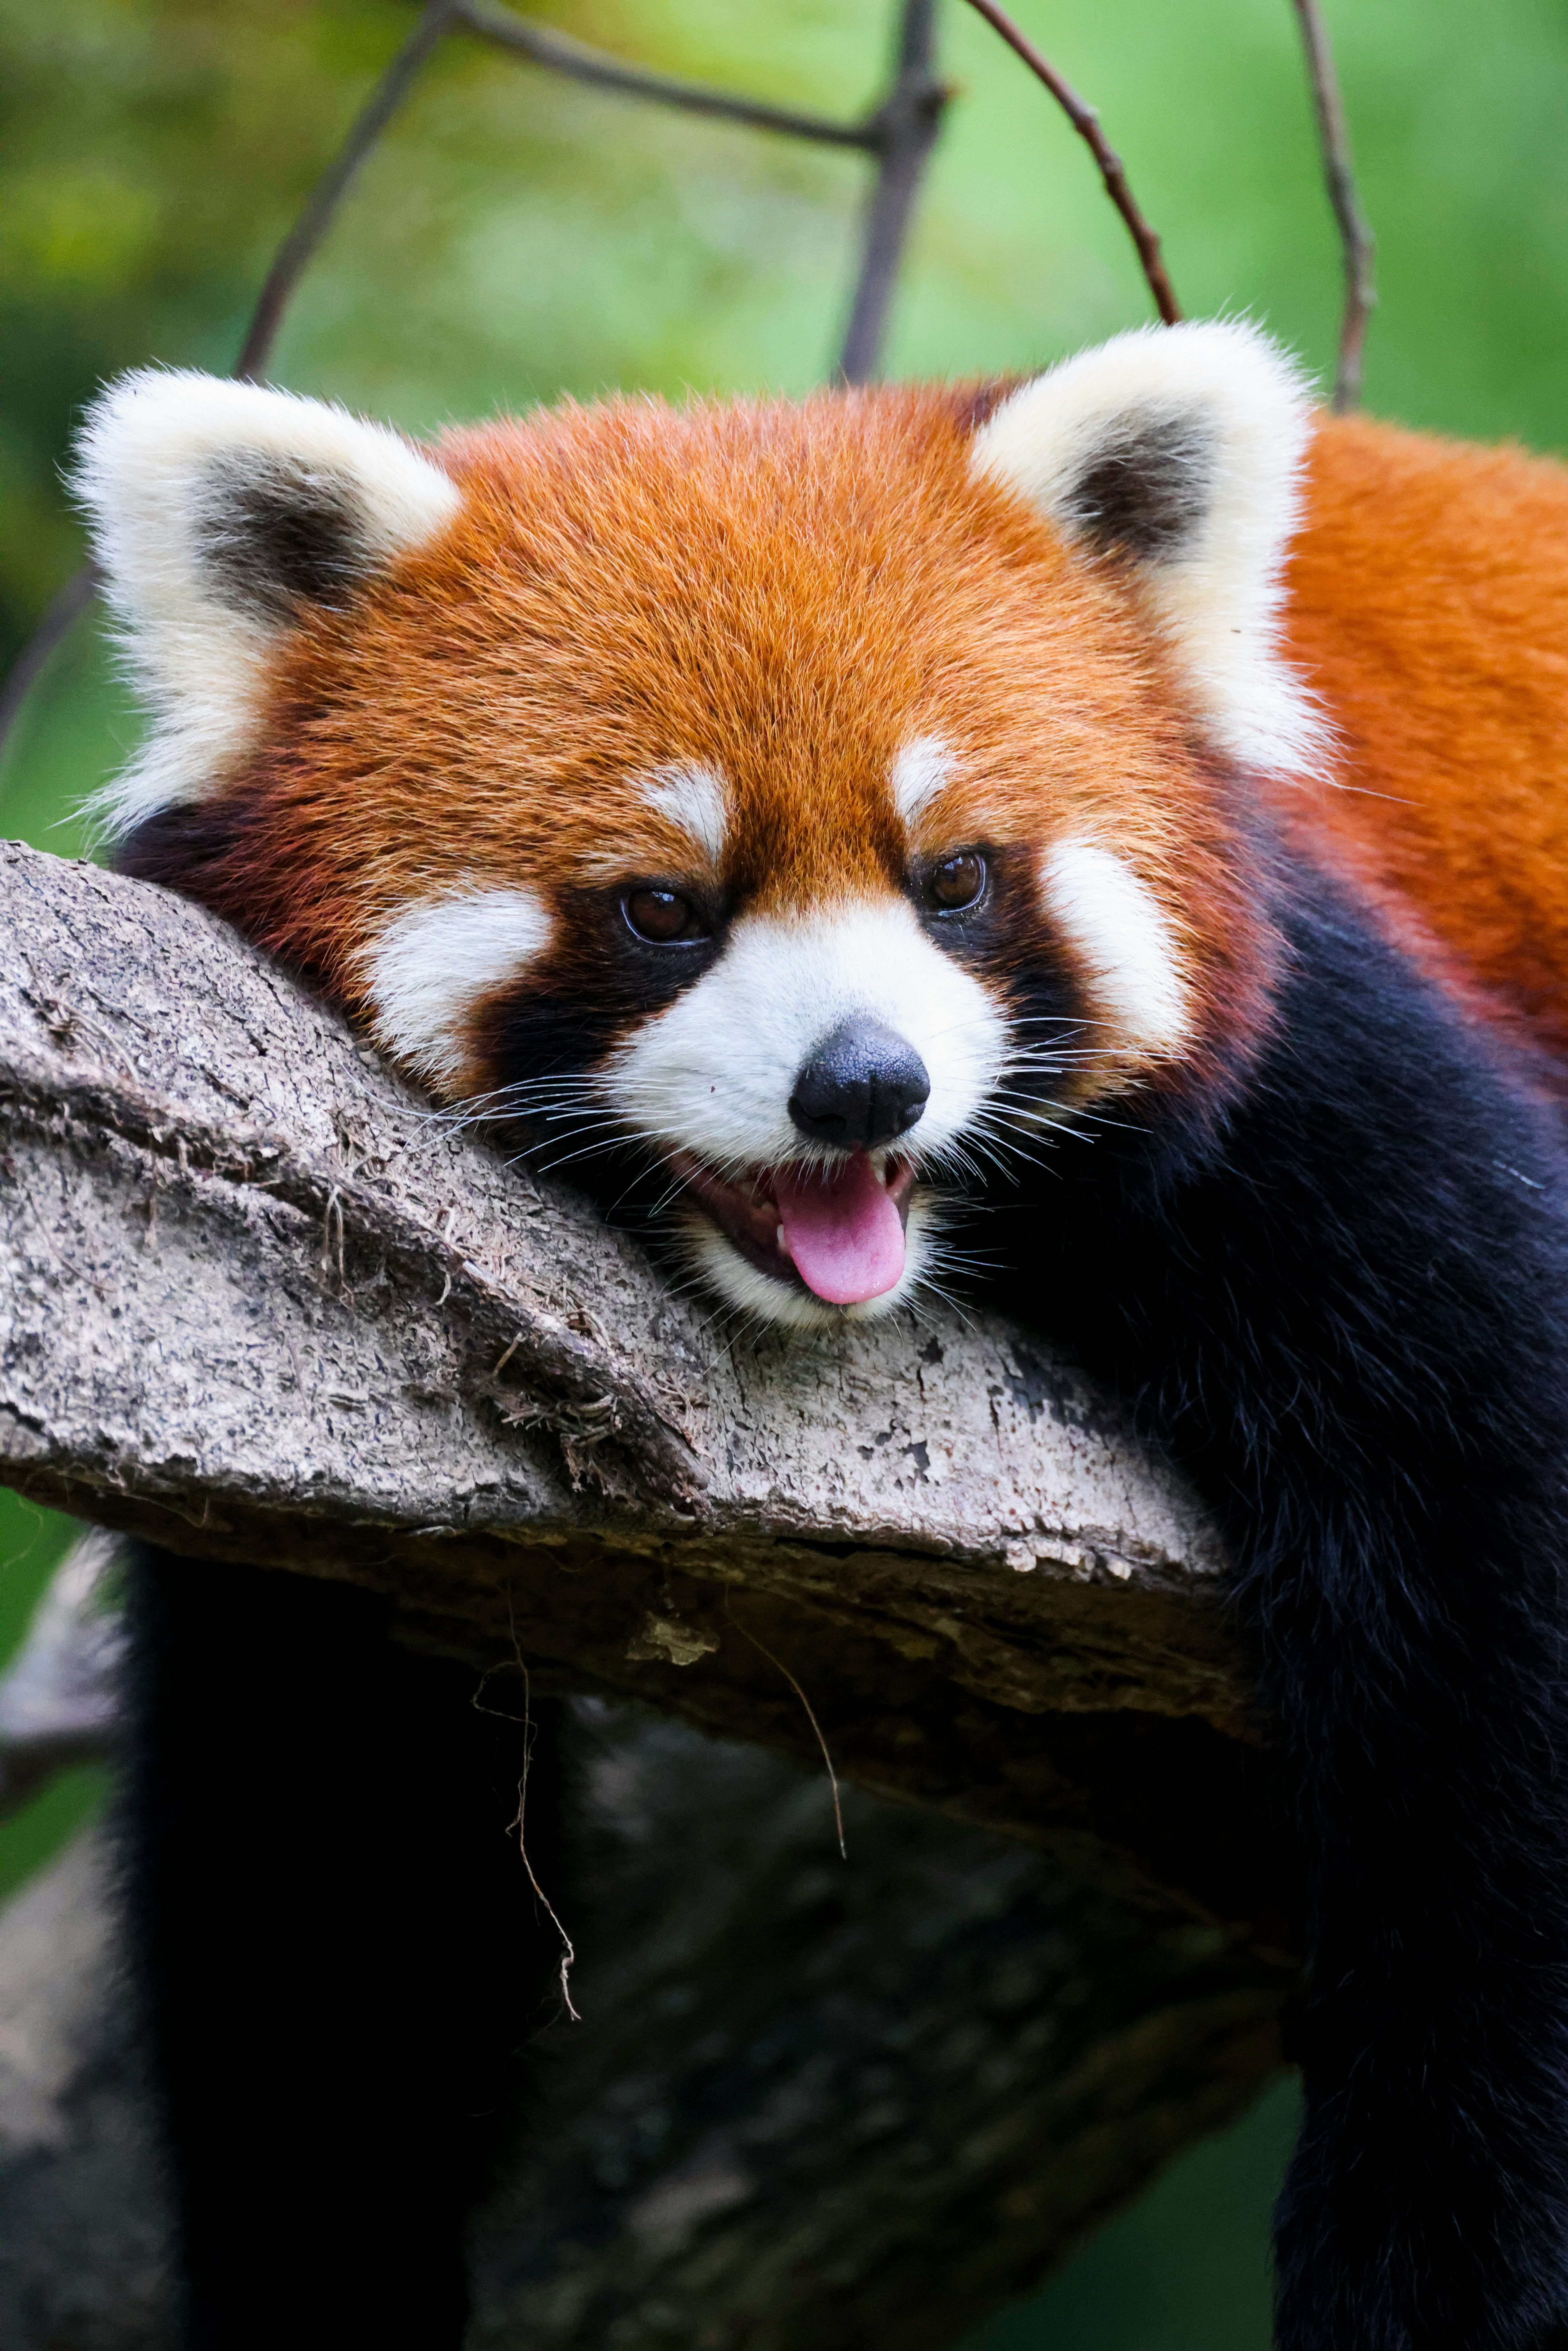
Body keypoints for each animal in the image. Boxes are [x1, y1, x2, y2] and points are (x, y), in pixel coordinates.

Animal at [74, 321, 1568, 2349]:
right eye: (662, 906)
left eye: (954, 879)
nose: (862, 1086)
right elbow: (324, 1836)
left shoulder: (1323, 1076)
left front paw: (1430, 2263)